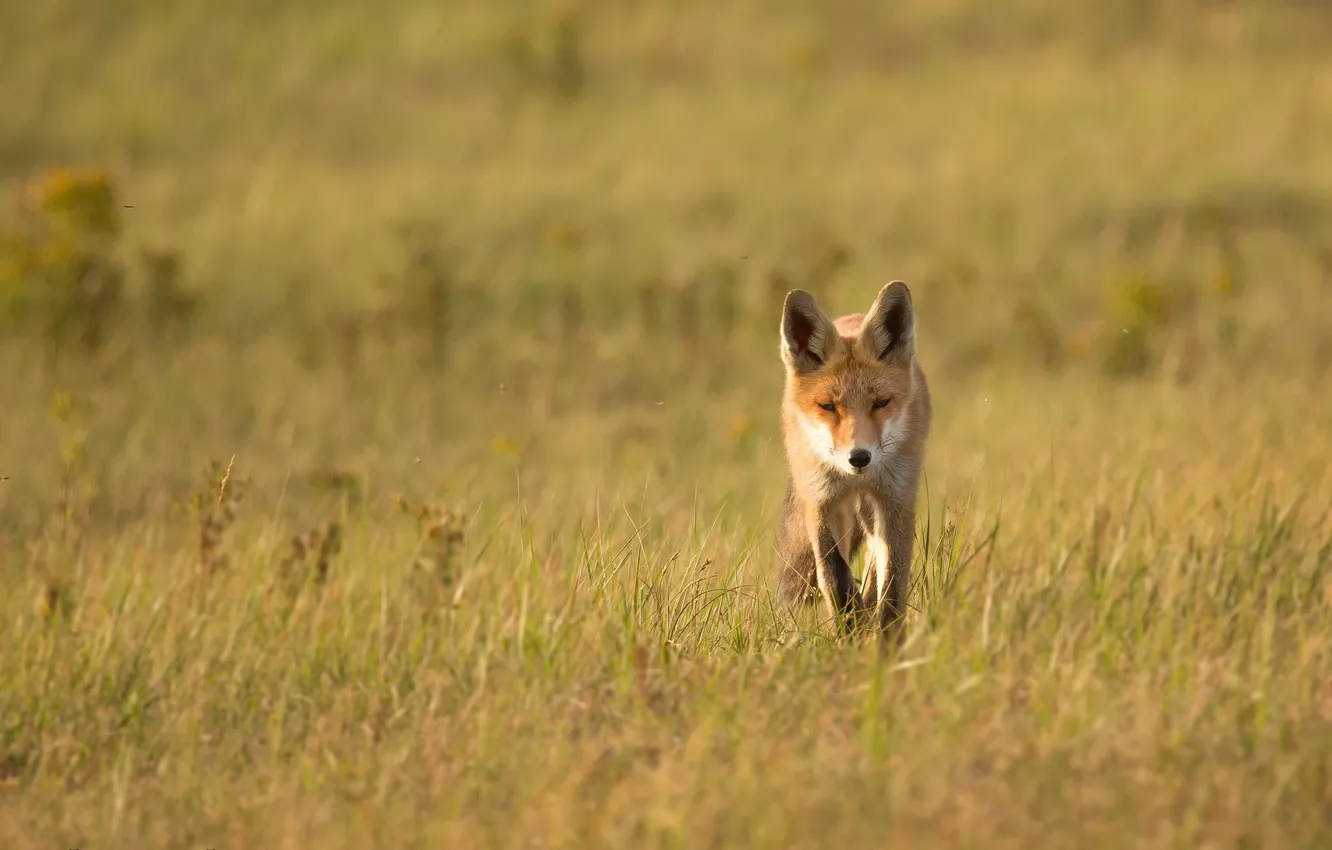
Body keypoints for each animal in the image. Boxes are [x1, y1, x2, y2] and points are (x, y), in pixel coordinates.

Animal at [777, 281, 932, 639]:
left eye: (881, 403)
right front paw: (850, 636)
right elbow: (834, 577)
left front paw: (888, 644)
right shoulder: (821, 500)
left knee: (875, 558)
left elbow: (892, 585)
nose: (859, 458)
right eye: (828, 406)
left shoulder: (896, 499)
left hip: (873, 508)